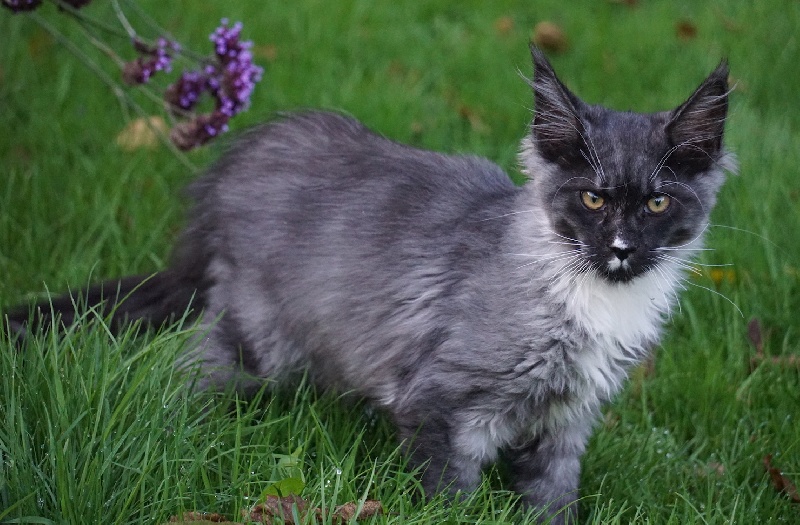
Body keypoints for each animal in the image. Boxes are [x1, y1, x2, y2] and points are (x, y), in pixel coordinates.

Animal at [4, 47, 736, 520]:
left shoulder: (564, 424)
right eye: (591, 199)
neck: (591, 295)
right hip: (256, 343)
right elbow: (450, 502)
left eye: (658, 203)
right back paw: (180, 430)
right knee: (181, 371)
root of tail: (237, 163)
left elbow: (551, 507)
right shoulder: (441, 406)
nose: (621, 249)